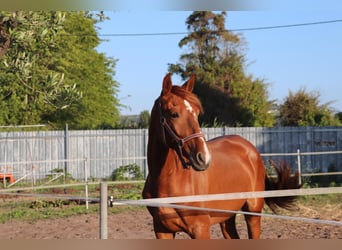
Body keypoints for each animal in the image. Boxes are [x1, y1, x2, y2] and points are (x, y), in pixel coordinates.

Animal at [142, 73, 300, 238]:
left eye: (197, 113)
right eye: (174, 114)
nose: (203, 158)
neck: (168, 181)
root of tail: (251, 149)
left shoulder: (200, 229)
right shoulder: (162, 230)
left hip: (253, 212)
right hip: (226, 218)